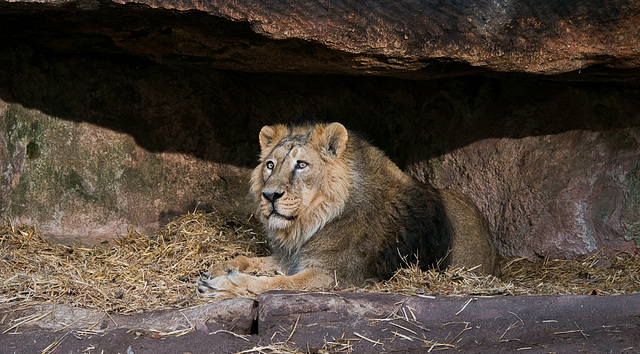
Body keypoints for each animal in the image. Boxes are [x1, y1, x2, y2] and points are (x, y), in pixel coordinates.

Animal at [198, 123, 498, 298]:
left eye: (301, 165)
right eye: (270, 165)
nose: (270, 195)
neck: (313, 222)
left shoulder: (331, 275)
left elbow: (273, 284)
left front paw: (222, 285)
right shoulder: (295, 257)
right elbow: (253, 261)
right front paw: (221, 267)